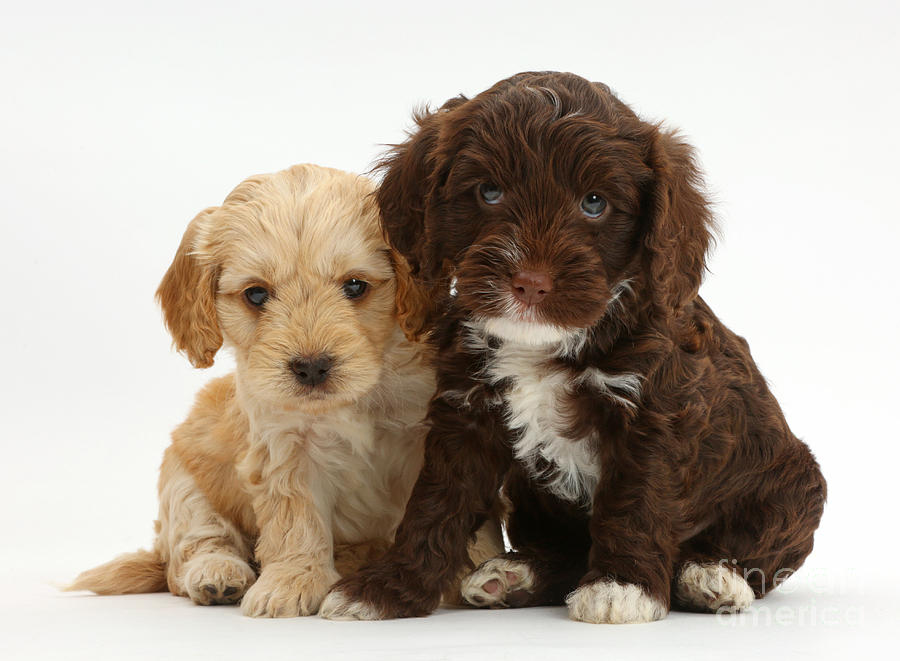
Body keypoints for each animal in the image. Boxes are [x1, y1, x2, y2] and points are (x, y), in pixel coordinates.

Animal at [68, 164, 506, 612]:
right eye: (256, 294)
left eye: (355, 286)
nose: (311, 367)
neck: (358, 395)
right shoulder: (285, 447)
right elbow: (297, 519)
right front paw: (294, 579)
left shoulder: (435, 431)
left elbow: (454, 503)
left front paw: (479, 566)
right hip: (183, 483)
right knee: (194, 546)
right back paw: (217, 575)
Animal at [320, 73, 828, 624]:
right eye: (489, 192)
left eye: (594, 203)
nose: (530, 282)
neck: (544, 343)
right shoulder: (466, 412)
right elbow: (437, 503)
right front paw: (386, 588)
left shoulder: (651, 416)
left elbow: (634, 501)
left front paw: (621, 587)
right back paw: (515, 575)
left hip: (794, 488)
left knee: (760, 553)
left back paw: (710, 577)